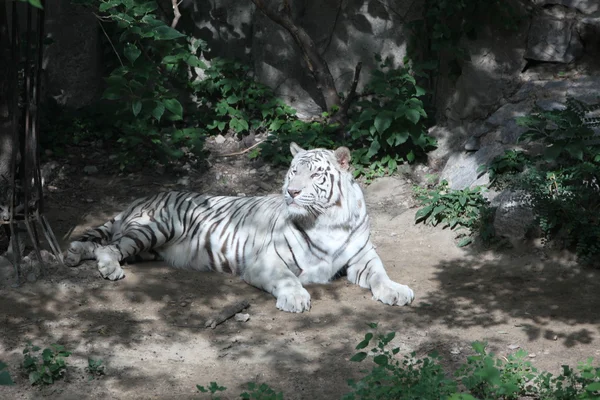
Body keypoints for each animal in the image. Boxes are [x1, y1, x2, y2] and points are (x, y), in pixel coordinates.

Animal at [64, 144, 412, 312]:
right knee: (109, 247)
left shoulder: (363, 257)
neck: (326, 220)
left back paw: (72, 255)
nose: (292, 192)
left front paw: (396, 291)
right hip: (154, 228)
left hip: (146, 248)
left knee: (99, 244)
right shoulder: (267, 262)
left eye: (315, 175)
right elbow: (288, 278)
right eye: (292, 172)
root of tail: (143, 196)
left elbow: (380, 274)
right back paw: (109, 268)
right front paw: (295, 299)